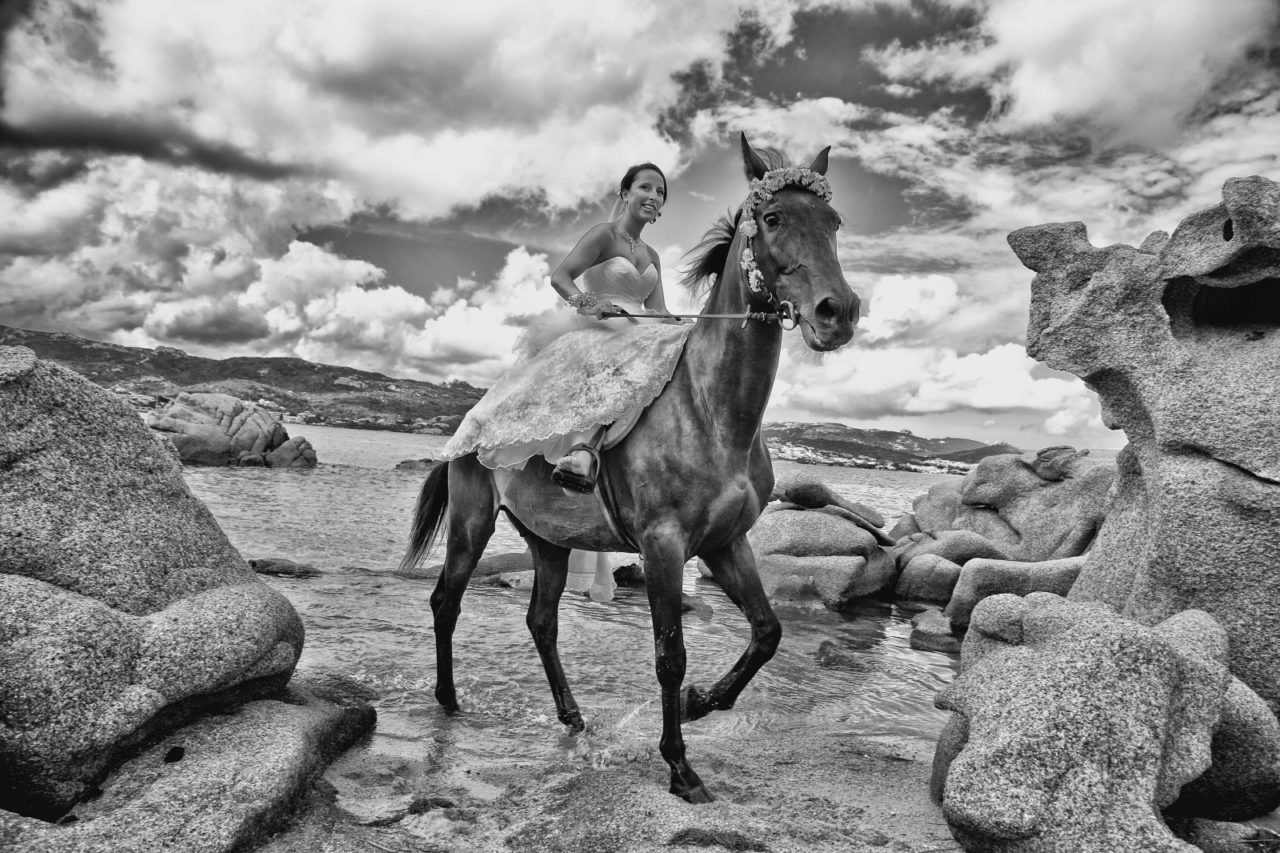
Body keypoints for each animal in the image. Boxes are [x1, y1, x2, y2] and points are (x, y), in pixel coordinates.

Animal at [399, 134, 860, 804]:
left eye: (834, 222)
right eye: (773, 218)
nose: (838, 312)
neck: (712, 411)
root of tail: (472, 418)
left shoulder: (726, 542)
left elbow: (768, 632)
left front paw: (703, 701)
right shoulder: (663, 545)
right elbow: (670, 654)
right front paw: (680, 766)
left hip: (548, 538)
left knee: (542, 621)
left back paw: (570, 715)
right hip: (471, 522)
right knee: (445, 602)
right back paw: (449, 699)